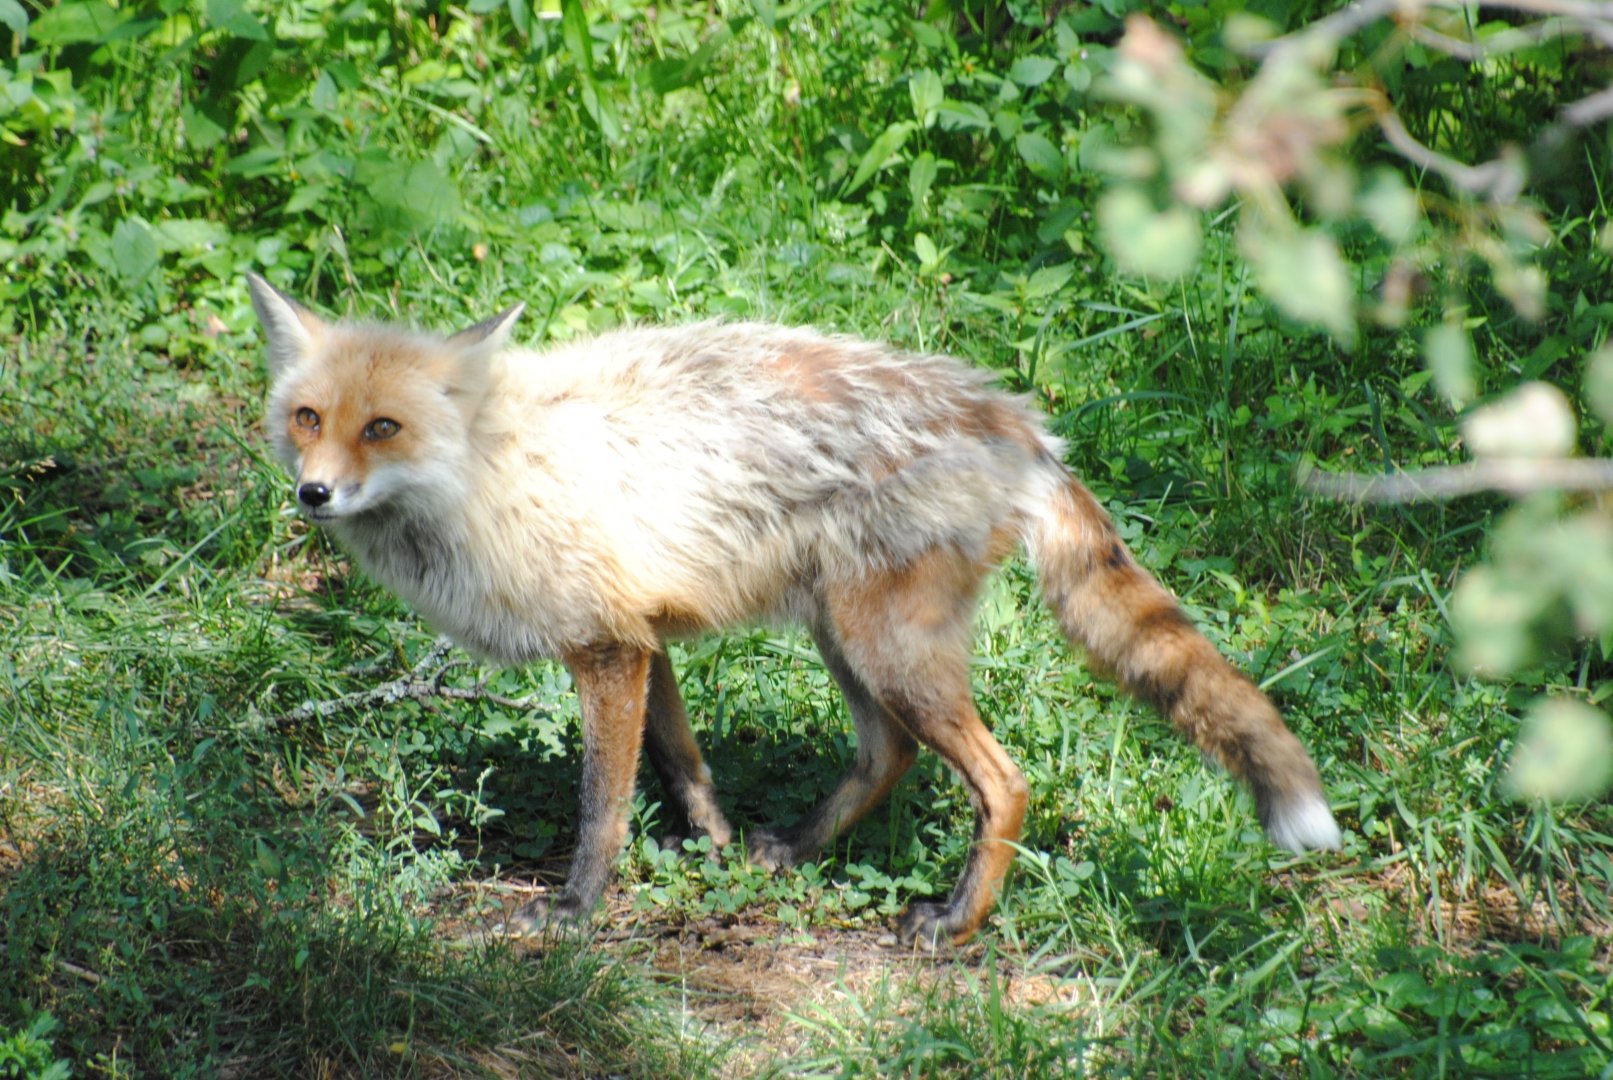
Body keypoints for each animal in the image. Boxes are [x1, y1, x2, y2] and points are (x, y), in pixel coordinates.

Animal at [246, 272, 1342, 946]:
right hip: (844, 639)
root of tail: (1016, 421)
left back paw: (954, 924)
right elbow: (684, 766)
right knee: (885, 756)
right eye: (308, 417)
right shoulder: (647, 640)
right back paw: (799, 853)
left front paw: (575, 913)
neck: (486, 470)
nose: (313, 493)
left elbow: (602, 807)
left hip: (888, 648)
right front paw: (718, 848)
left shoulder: (605, 649)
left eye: (383, 429)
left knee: (1004, 781)